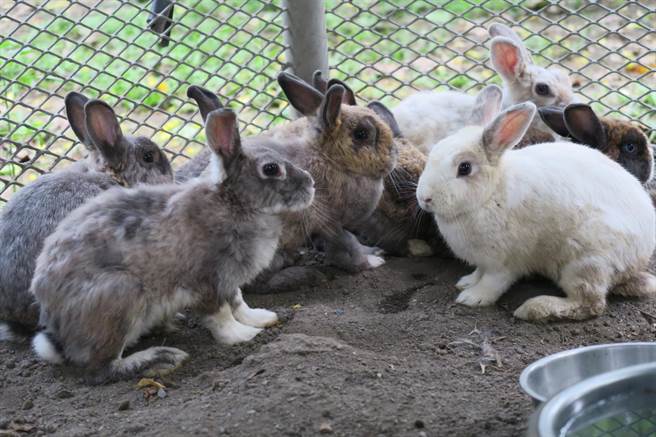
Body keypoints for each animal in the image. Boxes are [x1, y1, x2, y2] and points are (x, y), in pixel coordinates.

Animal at [30, 105, 316, 378]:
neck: (234, 202)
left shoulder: (229, 280)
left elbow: (238, 301)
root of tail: (55, 323)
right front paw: (242, 336)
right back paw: (161, 358)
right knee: (101, 367)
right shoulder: (206, 281)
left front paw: (261, 319)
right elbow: (220, 314)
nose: (311, 183)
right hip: (120, 297)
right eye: (271, 169)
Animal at [416, 101, 656, 320]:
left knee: (589, 303)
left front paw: (473, 297)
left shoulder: (503, 261)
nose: (424, 198)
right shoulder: (483, 260)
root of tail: (639, 258)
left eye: (464, 168)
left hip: (585, 262)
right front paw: (466, 282)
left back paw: (534, 308)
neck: (490, 194)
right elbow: (479, 272)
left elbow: (493, 282)